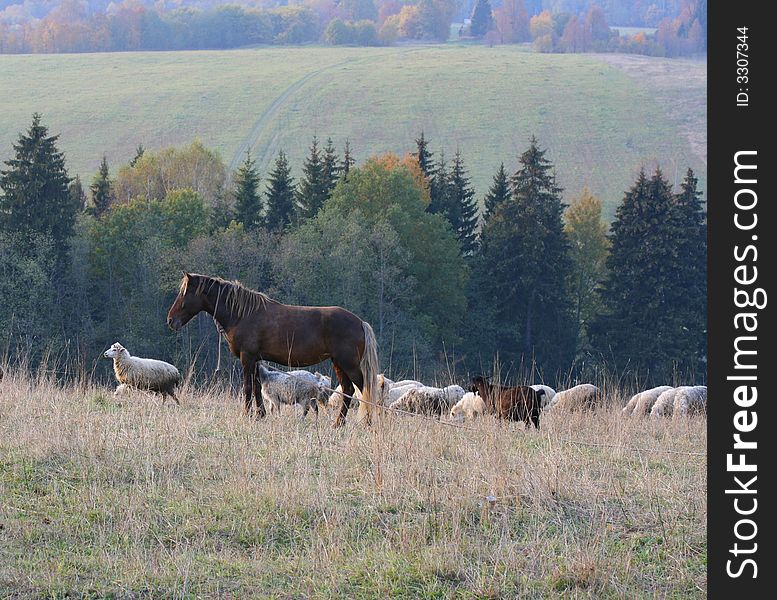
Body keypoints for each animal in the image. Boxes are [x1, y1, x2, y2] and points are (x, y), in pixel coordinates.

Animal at [167, 272, 378, 426]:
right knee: (348, 389)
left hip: (348, 364)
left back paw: (367, 422)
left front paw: (247, 414)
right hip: (338, 363)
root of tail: (360, 322)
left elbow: (248, 387)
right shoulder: (256, 359)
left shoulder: (247, 357)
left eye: (185, 293)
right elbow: (257, 386)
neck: (243, 314)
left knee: (364, 389)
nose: (170, 320)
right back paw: (338, 423)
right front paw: (260, 415)